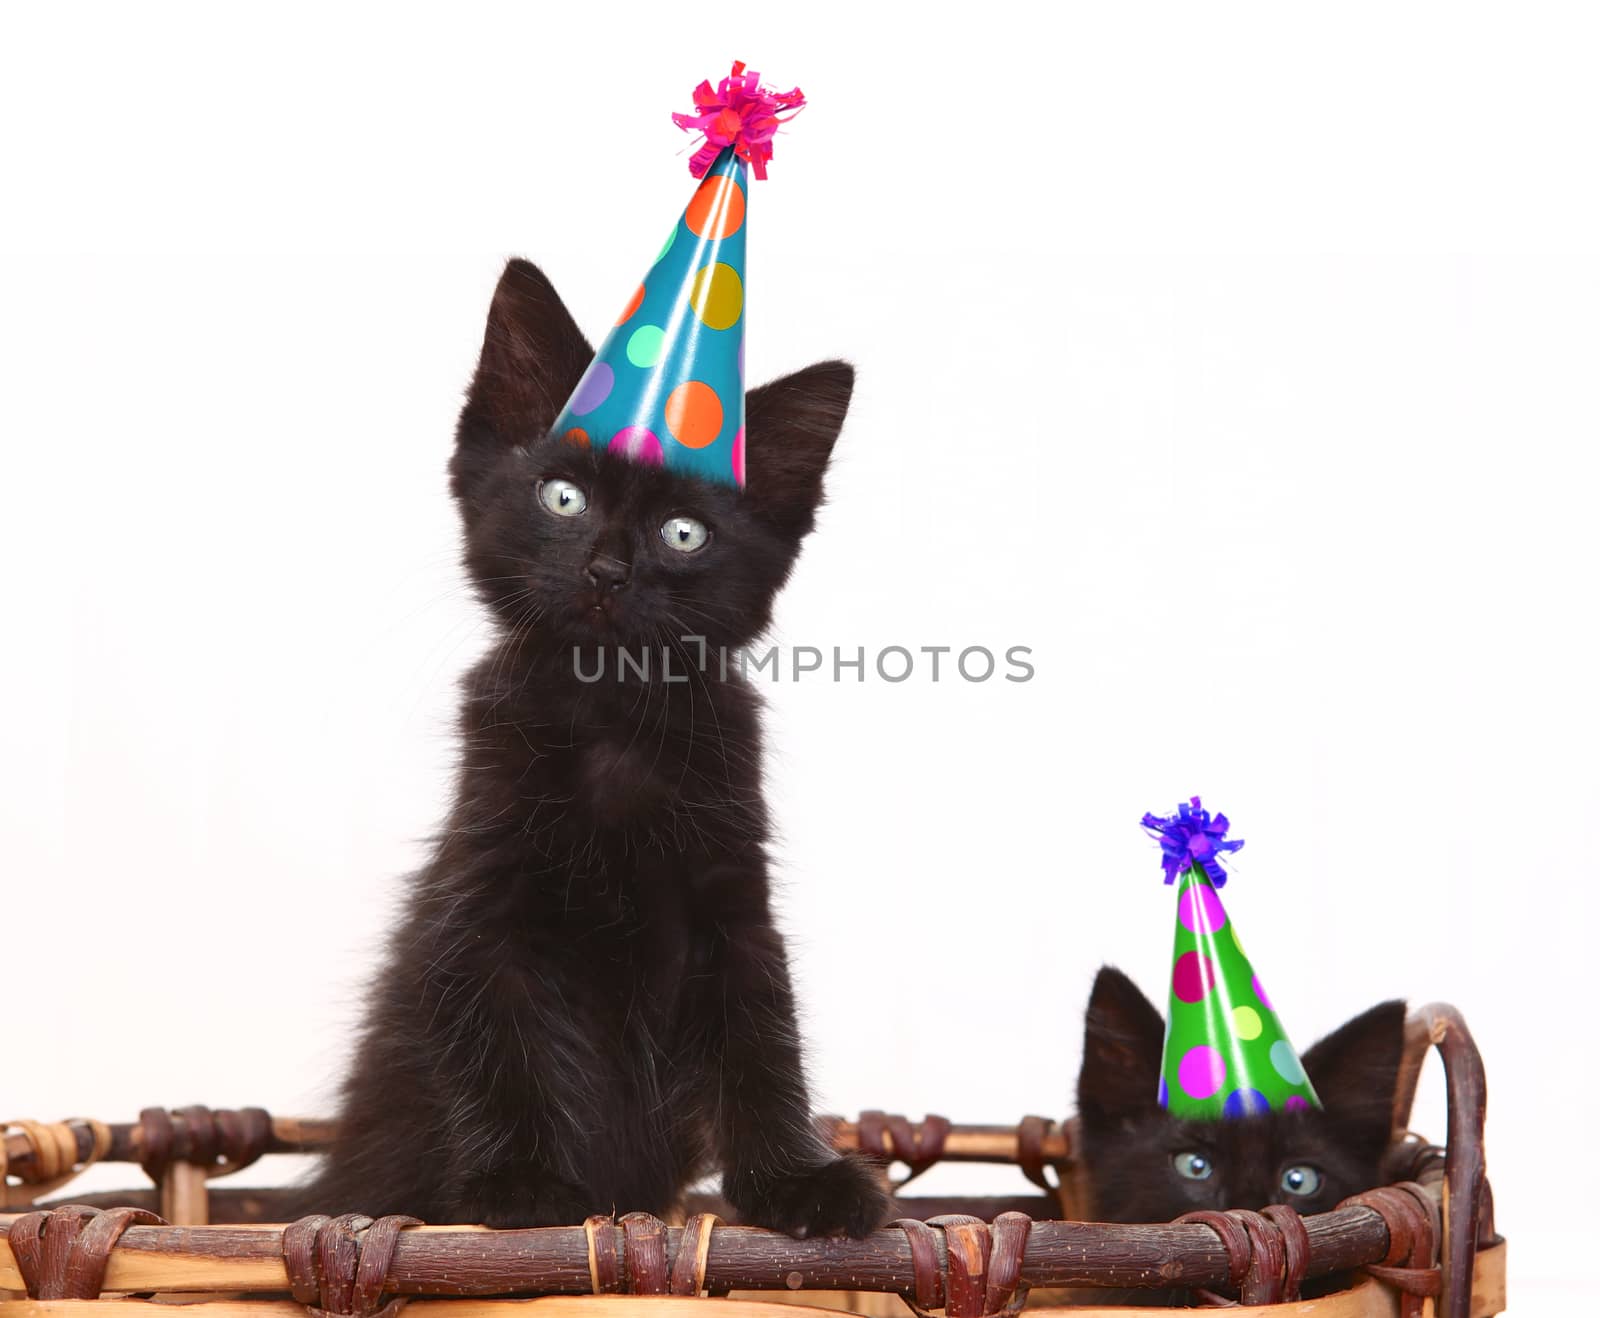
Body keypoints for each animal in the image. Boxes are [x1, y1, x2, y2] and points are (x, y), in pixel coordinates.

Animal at [300, 260, 889, 1234]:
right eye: (562, 497)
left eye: (683, 533)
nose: (609, 570)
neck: (613, 720)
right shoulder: (484, 897)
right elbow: (499, 1043)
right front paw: (523, 1186)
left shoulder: (733, 905)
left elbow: (763, 1043)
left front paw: (801, 1184)